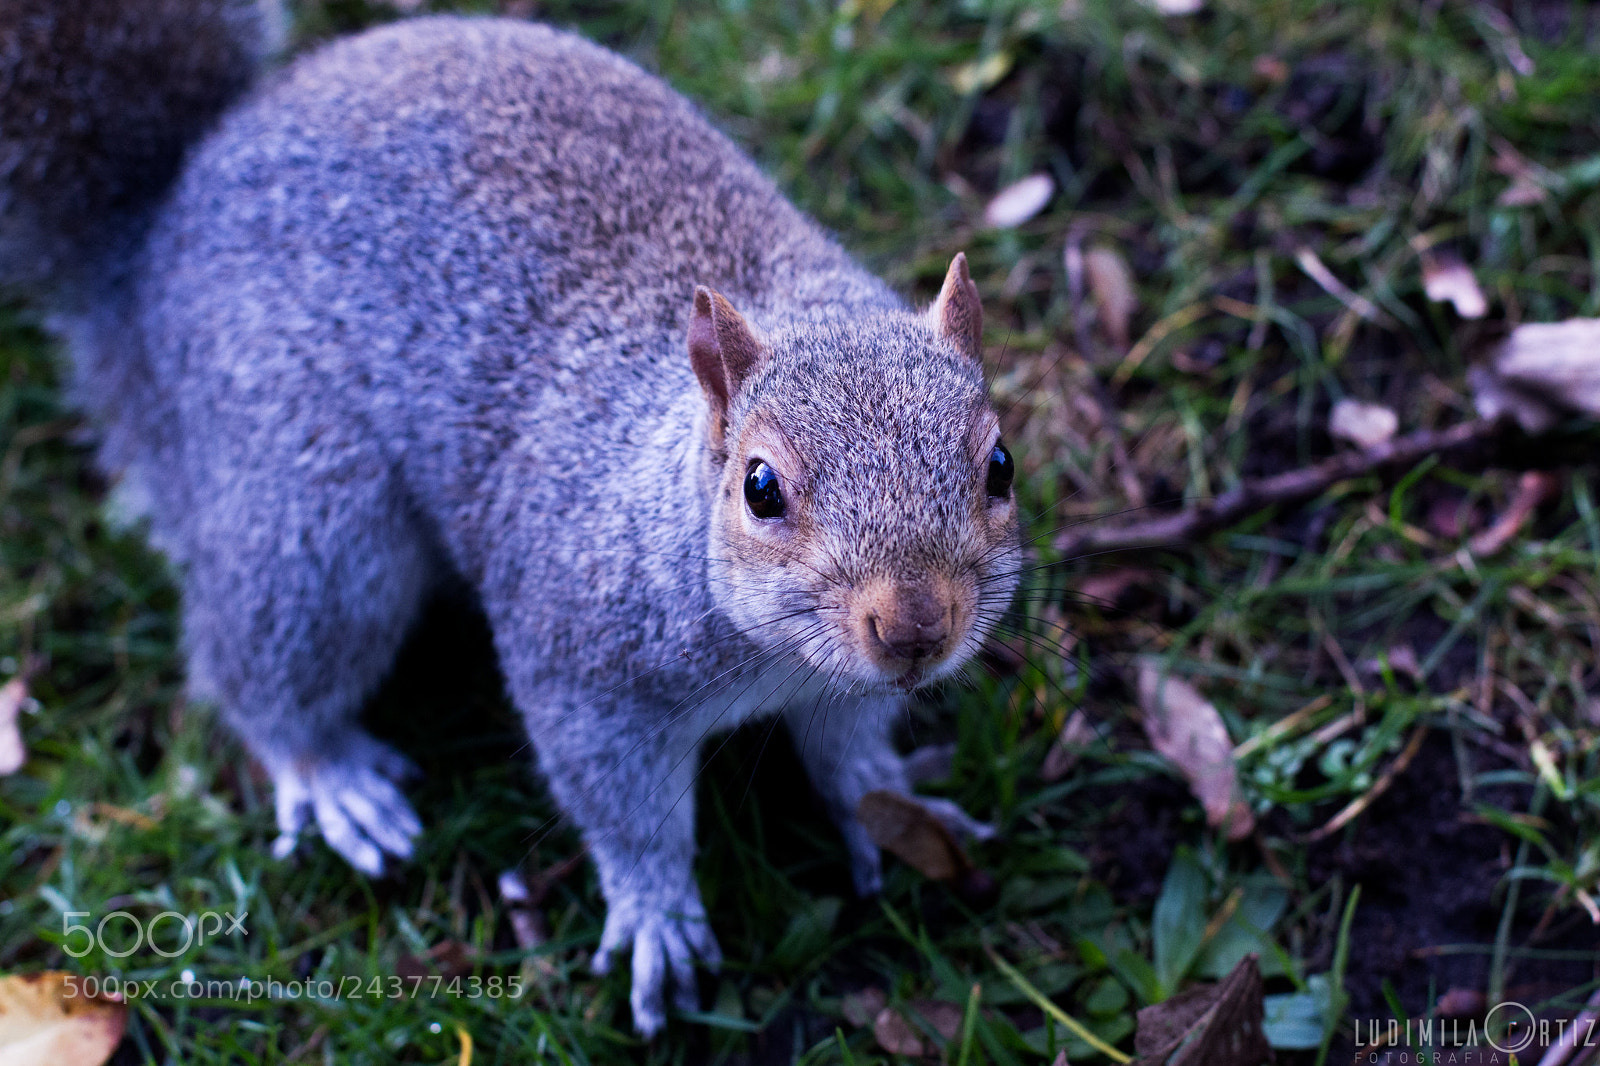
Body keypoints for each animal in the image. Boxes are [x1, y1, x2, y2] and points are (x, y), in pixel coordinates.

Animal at [3, 0, 1022, 1034]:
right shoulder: (580, 669)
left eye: (1000, 466)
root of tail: (152, 259)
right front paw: (657, 913)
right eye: (761, 487)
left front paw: (887, 806)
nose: (914, 629)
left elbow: (849, 743)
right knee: (261, 661)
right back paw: (331, 775)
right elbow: (623, 806)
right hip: (314, 524)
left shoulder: (839, 684)